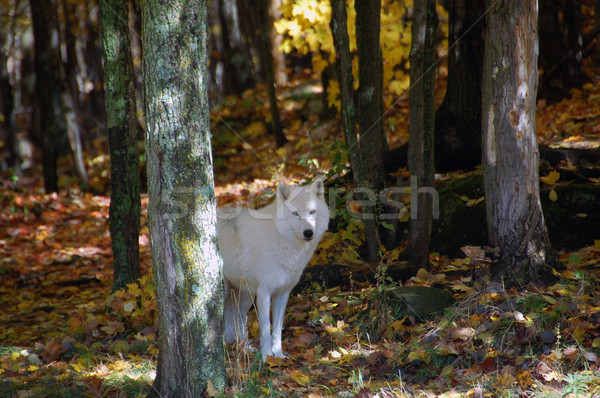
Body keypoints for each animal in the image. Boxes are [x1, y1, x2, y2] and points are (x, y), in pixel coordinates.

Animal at [218, 179, 328, 360]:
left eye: (312, 211)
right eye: (295, 213)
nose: (308, 232)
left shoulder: (283, 293)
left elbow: (277, 330)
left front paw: (279, 356)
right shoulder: (264, 292)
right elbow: (265, 330)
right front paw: (267, 358)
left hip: (246, 296)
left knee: (239, 318)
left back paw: (245, 348)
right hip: (229, 291)